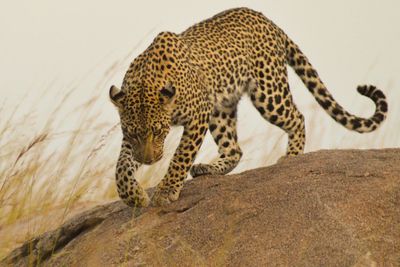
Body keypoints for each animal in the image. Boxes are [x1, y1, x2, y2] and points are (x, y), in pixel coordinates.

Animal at [108, 5, 388, 207]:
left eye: (158, 132)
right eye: (132, 133)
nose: (148, 161)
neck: (146, 80)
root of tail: (267, 20)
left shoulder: (199, 114)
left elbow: (181, 156)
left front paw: (166, 191)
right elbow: (121, 165)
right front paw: (133, 195)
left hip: (268, 93)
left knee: (297, 117)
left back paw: (292, 157)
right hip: (222, 109)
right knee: (234, 149)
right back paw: (208, 168)